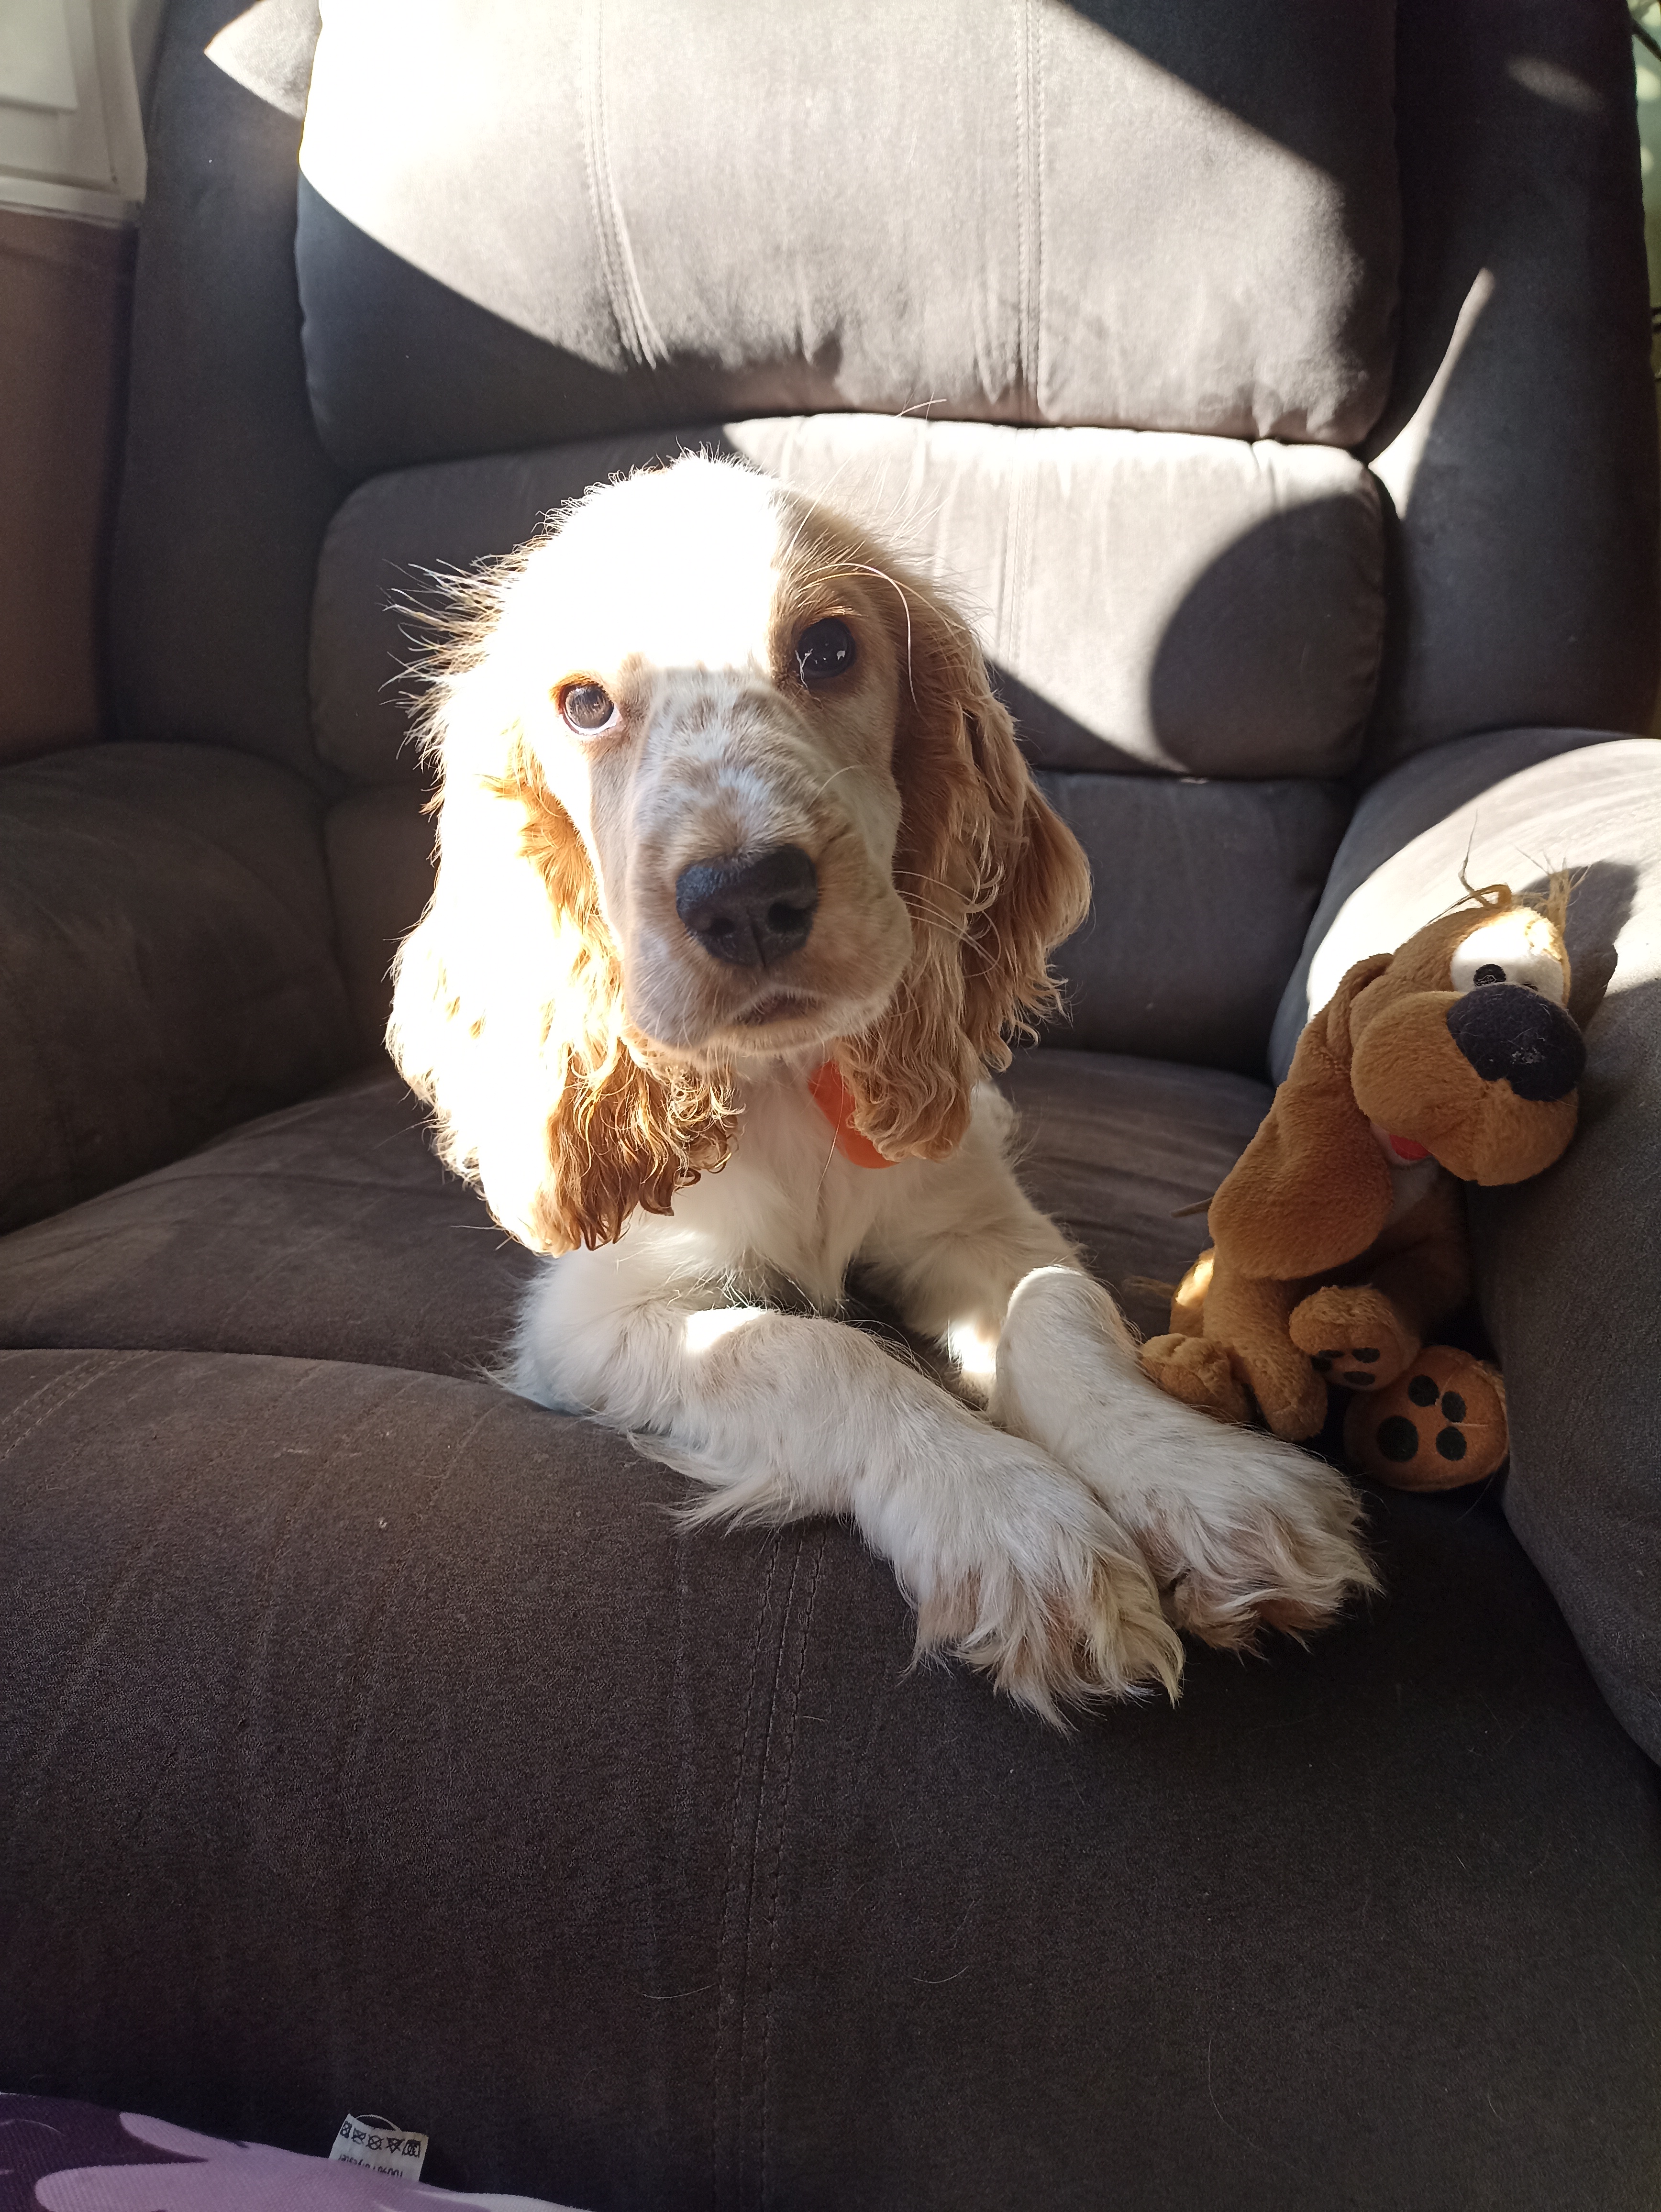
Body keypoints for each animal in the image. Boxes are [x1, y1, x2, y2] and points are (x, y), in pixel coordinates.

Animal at [388, 453, 1373, 1722]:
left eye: (827, 649)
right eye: (585, 704)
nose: (746, 895)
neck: (789, 1084)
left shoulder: (975, 1222)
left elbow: (1054, 1305)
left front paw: (1209, 1487)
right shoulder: (596, 1321)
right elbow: (813, 1349)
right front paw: (1016, 1526)